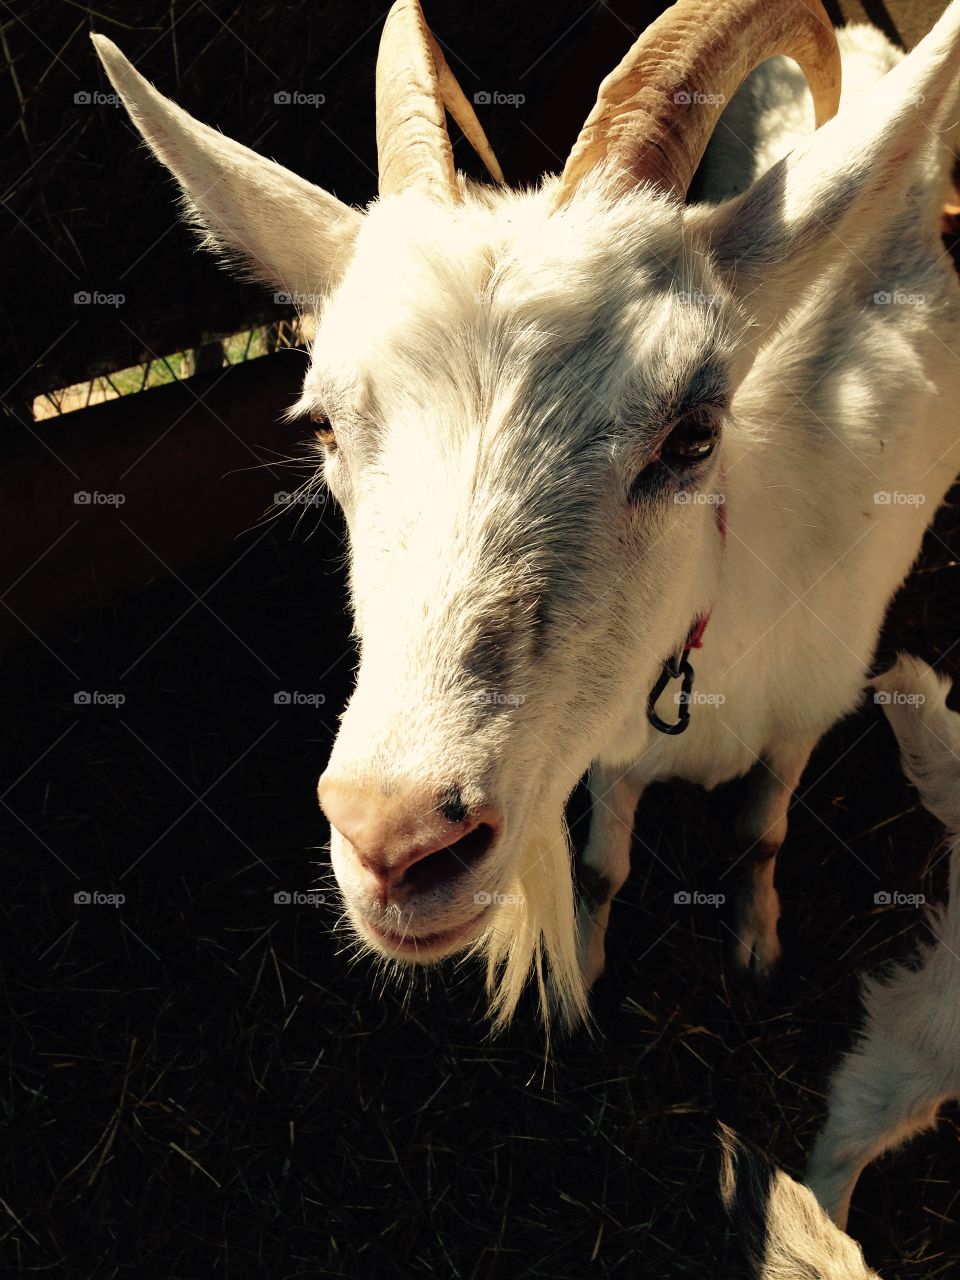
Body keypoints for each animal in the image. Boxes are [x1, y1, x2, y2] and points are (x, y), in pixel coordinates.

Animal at [92, 0, 960, 1028]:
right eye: (325, 426)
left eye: (694, 434)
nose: (397, 842)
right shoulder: (613, 738)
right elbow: (603, 865)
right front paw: (583, 970)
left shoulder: (810, 702)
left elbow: (763, 832)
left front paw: (755, 945)